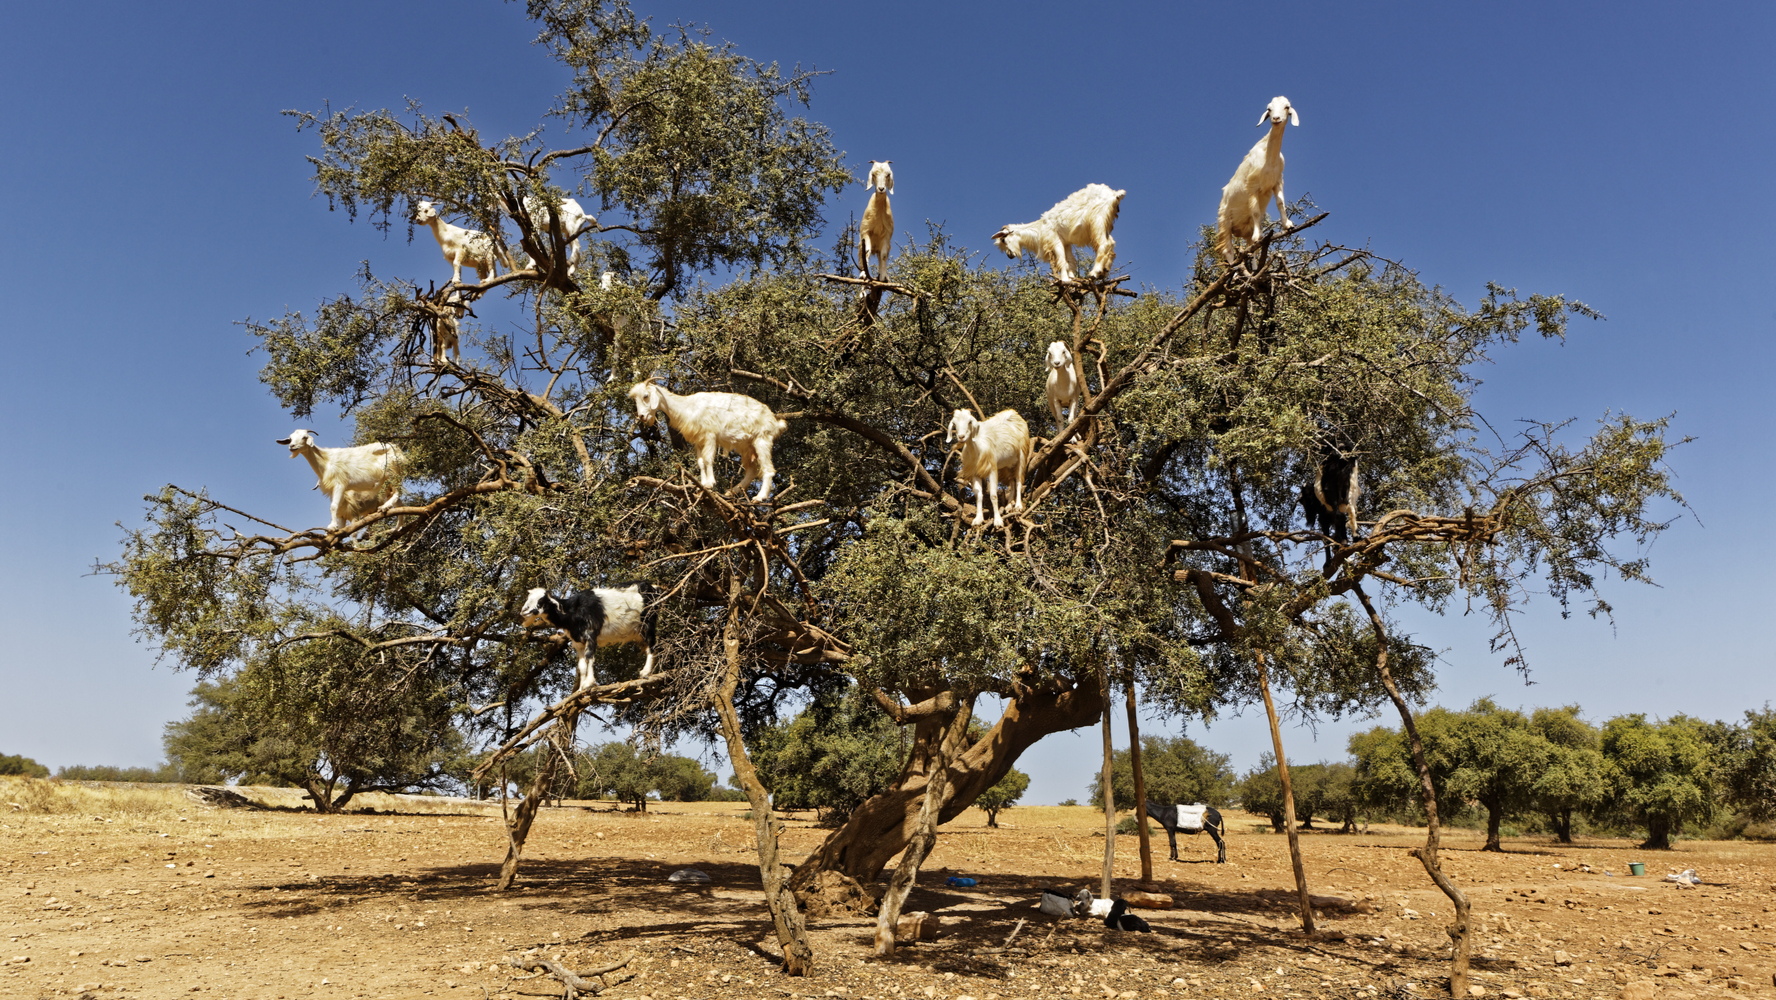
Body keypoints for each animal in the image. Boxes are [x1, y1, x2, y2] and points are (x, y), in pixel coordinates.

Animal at [518, 582, 660, 692]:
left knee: (653, 645)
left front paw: (588, 683)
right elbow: (581, 666)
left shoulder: (591, 634)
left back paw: (646, 672)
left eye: (541, 600)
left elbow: (589, 657)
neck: (574, 610)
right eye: (528, 598)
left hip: (648, 622)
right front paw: (581, 688)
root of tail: (653, 588)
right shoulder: (578, 642)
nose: (524, 611)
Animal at [628, 381, 788, 504]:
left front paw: (710, 484)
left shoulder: (710, 436)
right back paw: (731, 492)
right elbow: (700, 462)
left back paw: (759, 497)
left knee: (768, 469)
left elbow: (708, 459)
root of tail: (775, 423)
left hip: (762, 440)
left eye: (646, 396)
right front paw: (703, 485)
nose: (641, 416)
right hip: (746, 446)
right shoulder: (698, 441)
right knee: (752, 470)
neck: (688, 406)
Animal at [987, 183, 1122, 282]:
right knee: (1111, 243)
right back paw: (1104, 272)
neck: (1040, 228)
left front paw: (1065, 280)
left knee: (1104, 244)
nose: (1009, 255)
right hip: (1105, 223)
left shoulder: (1055, 239)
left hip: (1097, 220)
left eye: (1003, 239)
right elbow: (1070, 261)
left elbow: (1062, 260)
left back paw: (1095, 273)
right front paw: (1072, 278)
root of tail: (1115, 194)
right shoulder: (1066, 243)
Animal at [1214, 94, 1300, 264]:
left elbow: (1280, 203)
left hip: (1245, 229)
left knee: (1251, 248)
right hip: (1224, 221)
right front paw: (1258, 235)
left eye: (1287, 107)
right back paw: (1234, 268)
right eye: (1269, 108)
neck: (1268, 158)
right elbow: (1255, 211)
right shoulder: (1252, 186)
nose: (1276, 118)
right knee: (1228, 251)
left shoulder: (1277, 182)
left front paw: (1288, 225)